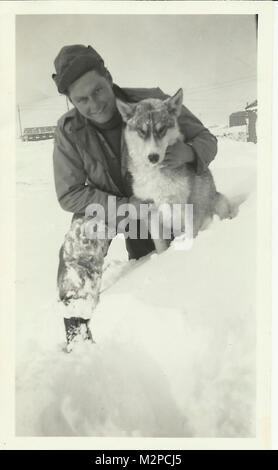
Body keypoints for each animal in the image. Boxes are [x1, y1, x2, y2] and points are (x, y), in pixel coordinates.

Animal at [116, 88, 233, 253]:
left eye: (162, 129)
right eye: (142, 131)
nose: (153, 157)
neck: (157, 174)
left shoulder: (189, 205)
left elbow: (191, 234)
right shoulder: (151, 211)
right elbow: (160, 246)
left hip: (219, 202)